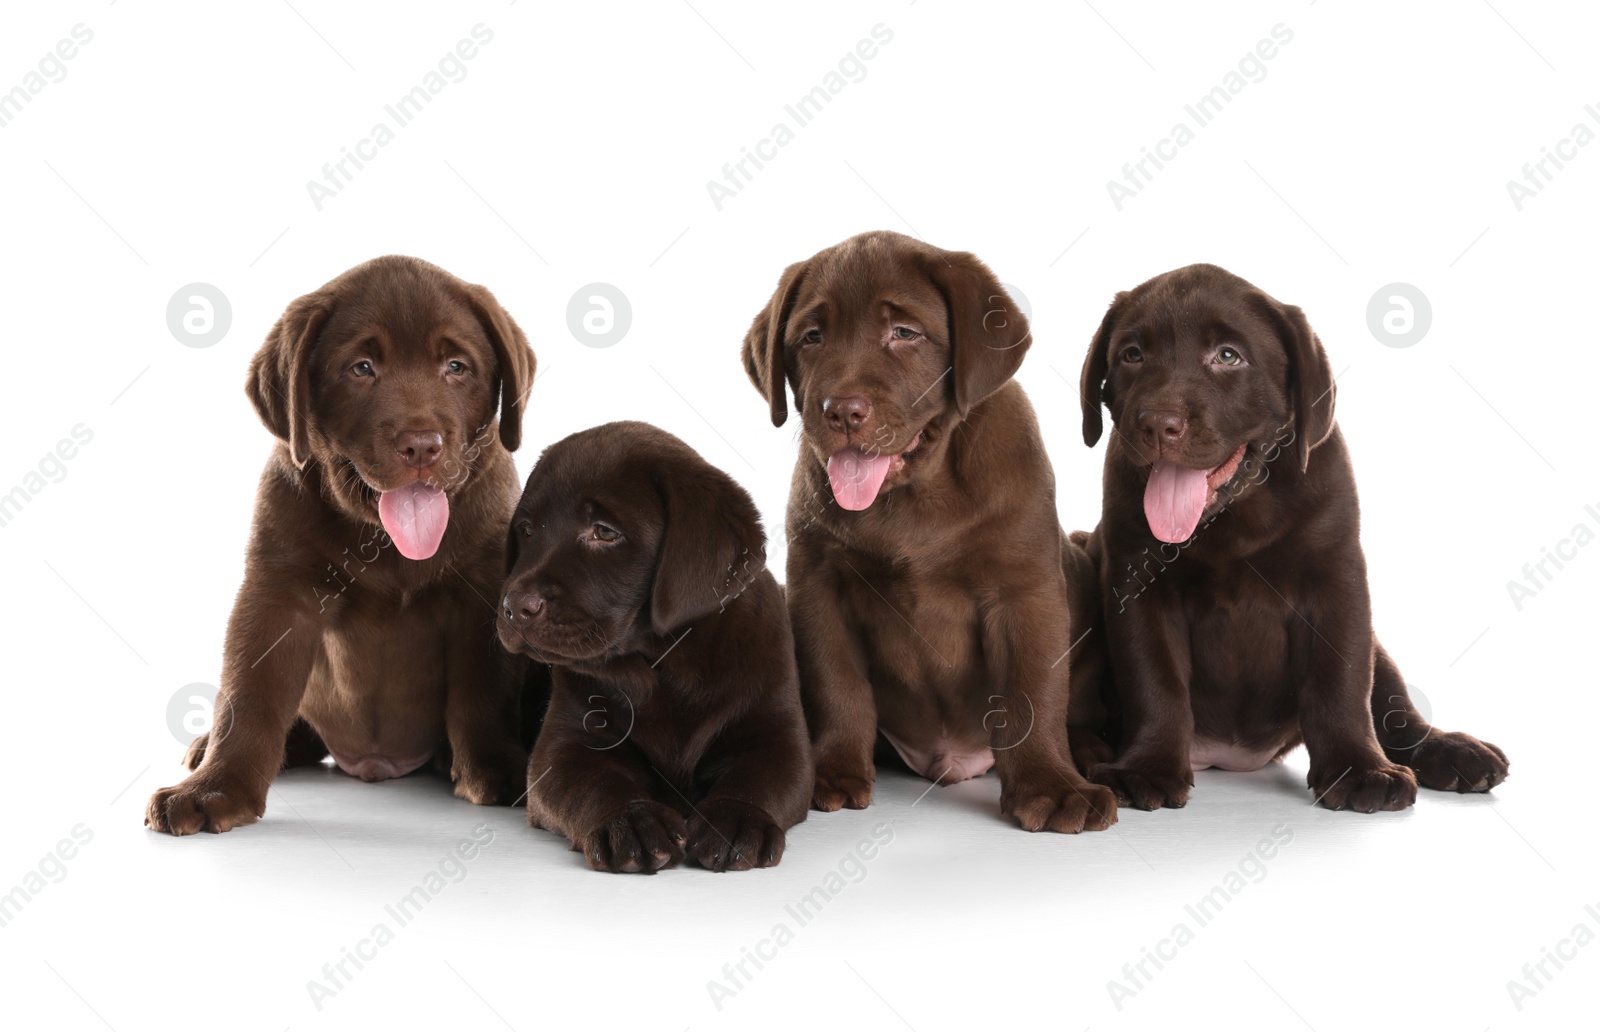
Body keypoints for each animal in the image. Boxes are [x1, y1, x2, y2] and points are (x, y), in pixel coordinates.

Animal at [147, 252, 540, 832]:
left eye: (456, 367)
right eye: (361, 369)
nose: (421, 446)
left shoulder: (483, 589)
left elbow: (484, 688)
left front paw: (496, 769)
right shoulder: (277, 592)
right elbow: (250, 694)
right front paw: (215, 788)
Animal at [496, 419, 812, 870]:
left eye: (604, 532)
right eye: (526, 530)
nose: (514, 606)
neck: (664, 663)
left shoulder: (778, 736)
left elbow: (757, 778)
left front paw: (734, 818)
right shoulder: (562, 749)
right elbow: (594, 783)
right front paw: (632, 820)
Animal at [742, 228, 1120, 832]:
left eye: (904, 334)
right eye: (812, 337)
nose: (841, 411)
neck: (915, 494)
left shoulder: (1024, 592)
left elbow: (1032, 691)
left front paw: (1051, 787)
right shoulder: (816, 584)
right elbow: (835, 684)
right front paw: (833, 771)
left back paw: (1087, 750)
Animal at [1075, 262, 1510, 809]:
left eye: (1228, 356)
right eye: (1132, 355)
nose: (1156, 424)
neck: (1234, 516)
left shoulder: (1338, 583)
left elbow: (1340, 681)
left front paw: (1357, 767)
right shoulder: (1134, 581)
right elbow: (1154, 679)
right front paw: (1148, 765)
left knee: (1394, 707)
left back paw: (1450, 751)